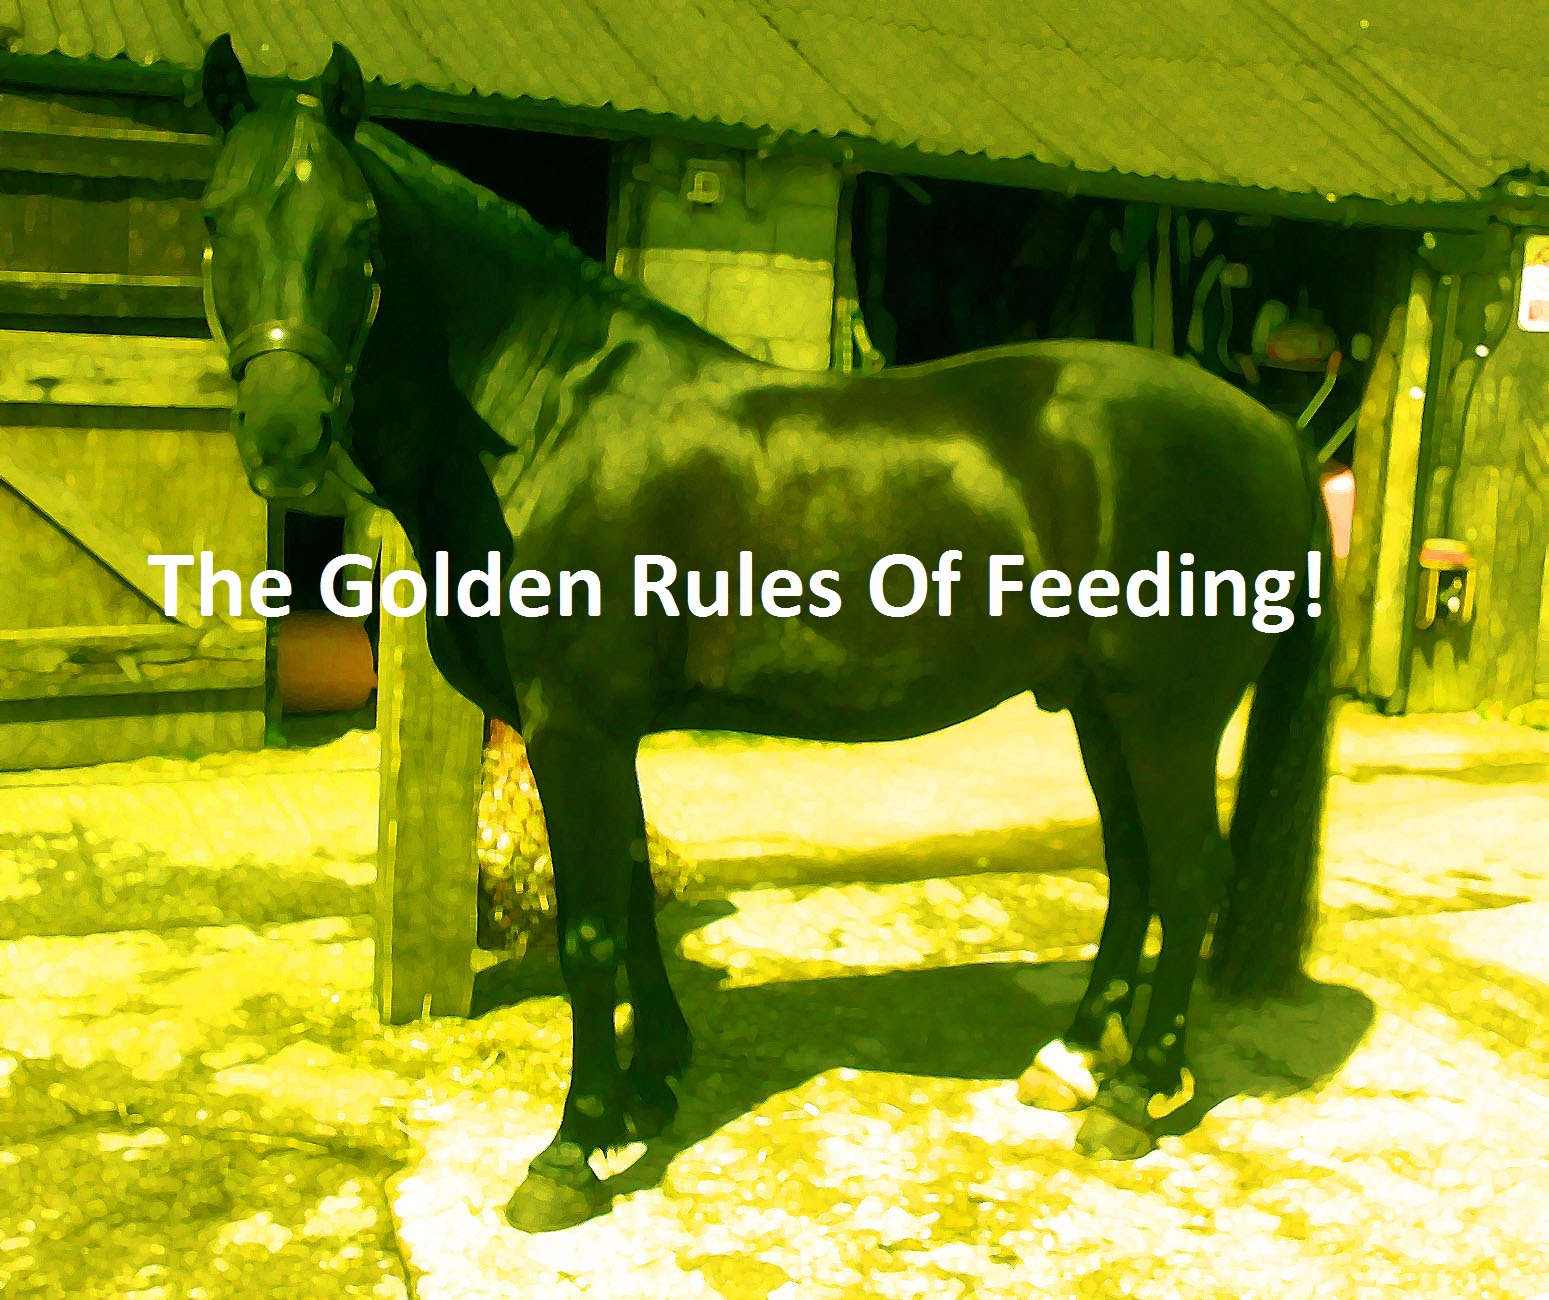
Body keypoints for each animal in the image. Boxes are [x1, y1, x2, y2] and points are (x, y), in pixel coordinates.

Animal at [197, 37, 1335, 1233]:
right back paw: (1070, 1061)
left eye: (357, 231)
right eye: (218, 215)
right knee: (1135, 870)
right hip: (1099, 710)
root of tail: (1268, 429)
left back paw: (1130, 1094)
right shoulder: (608, 734)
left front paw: (570, 1149)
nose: (286, 438)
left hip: (1169, 715)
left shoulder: (573, 729)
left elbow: (590, 929)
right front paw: (649, 1083)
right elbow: (634, 896)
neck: (551, 415)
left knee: (1192, 874)